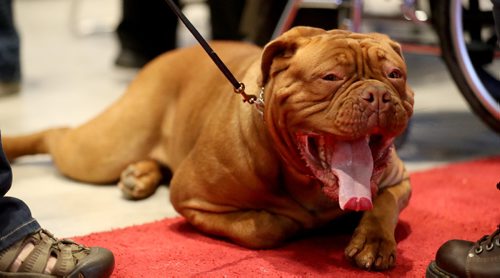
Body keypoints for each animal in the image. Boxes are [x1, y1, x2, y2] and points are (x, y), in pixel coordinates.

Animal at [1, 27, 412, 270]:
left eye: (395, 74)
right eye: (331, 77)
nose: (378, 95)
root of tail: (168, 54)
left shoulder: (399, 179)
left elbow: (384, 203)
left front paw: (373, 240)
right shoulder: (191, 197)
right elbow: (265, 227)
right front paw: (294, 221)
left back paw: (140, 175)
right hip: (102, 148)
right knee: (56, 134)